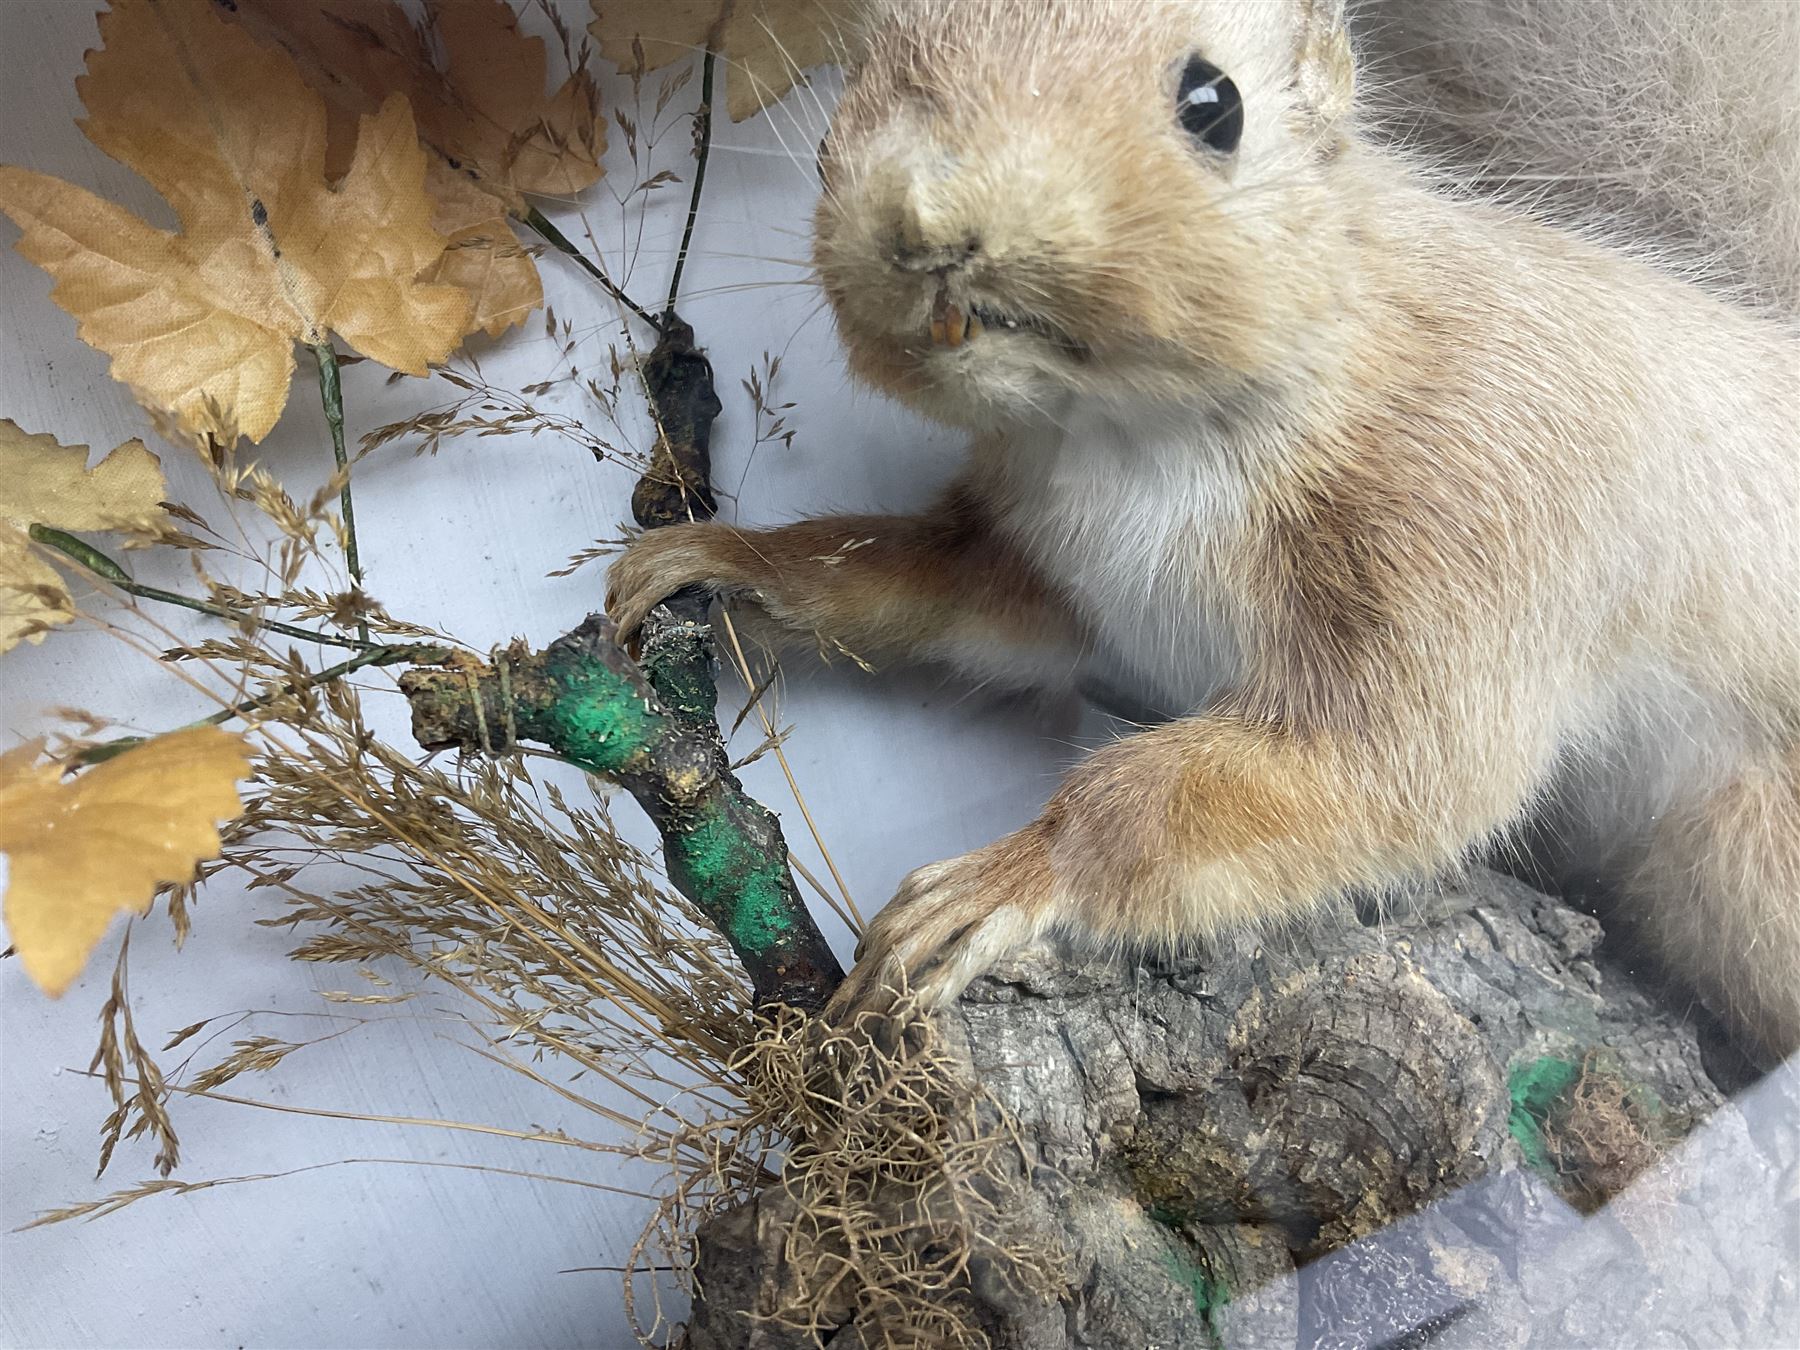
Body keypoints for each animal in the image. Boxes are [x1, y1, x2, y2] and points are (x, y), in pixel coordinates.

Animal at [606, 0, 1800, 1060]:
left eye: (1211, 103)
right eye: (858, 74)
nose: (926, 217)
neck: (1134, 441)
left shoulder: (1471, 525)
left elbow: (1386, 767)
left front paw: (1007, 879)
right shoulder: (1063, 577)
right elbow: (916, 586)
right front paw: (723, 563)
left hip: (1742, 851)